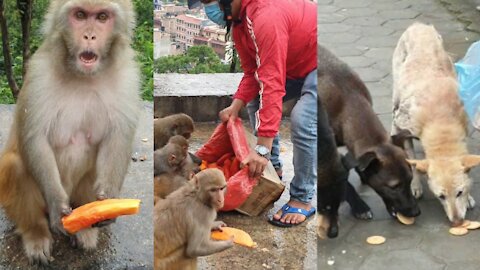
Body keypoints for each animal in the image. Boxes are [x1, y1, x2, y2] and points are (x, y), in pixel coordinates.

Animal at [0, 0, 141, 264]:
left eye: (102, 17)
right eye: (80, 15)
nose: (89, 35)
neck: (82, 76)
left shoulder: (128, 76)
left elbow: (118, 137)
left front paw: (109, 200)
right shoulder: (38, 72)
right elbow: (34, 138)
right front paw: (57, 207)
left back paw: (86, 227)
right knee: (15, 165)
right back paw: (36, 233)